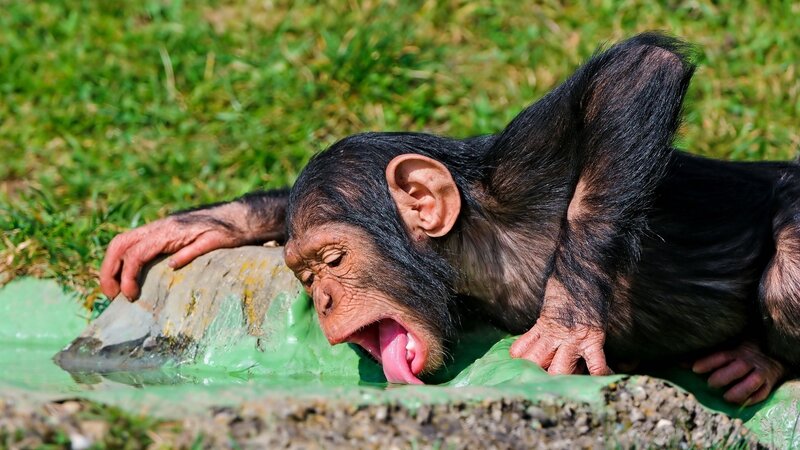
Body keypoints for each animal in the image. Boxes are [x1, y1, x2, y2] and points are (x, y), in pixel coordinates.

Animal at [100, 33, 794, 405]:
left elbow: (638, 73)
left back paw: (758, 362)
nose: (322, 300)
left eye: (332, 260)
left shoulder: (523, 170)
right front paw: (203, 223)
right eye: (304, 277)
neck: (475, 248)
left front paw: (565, 324)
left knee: (787, 273)